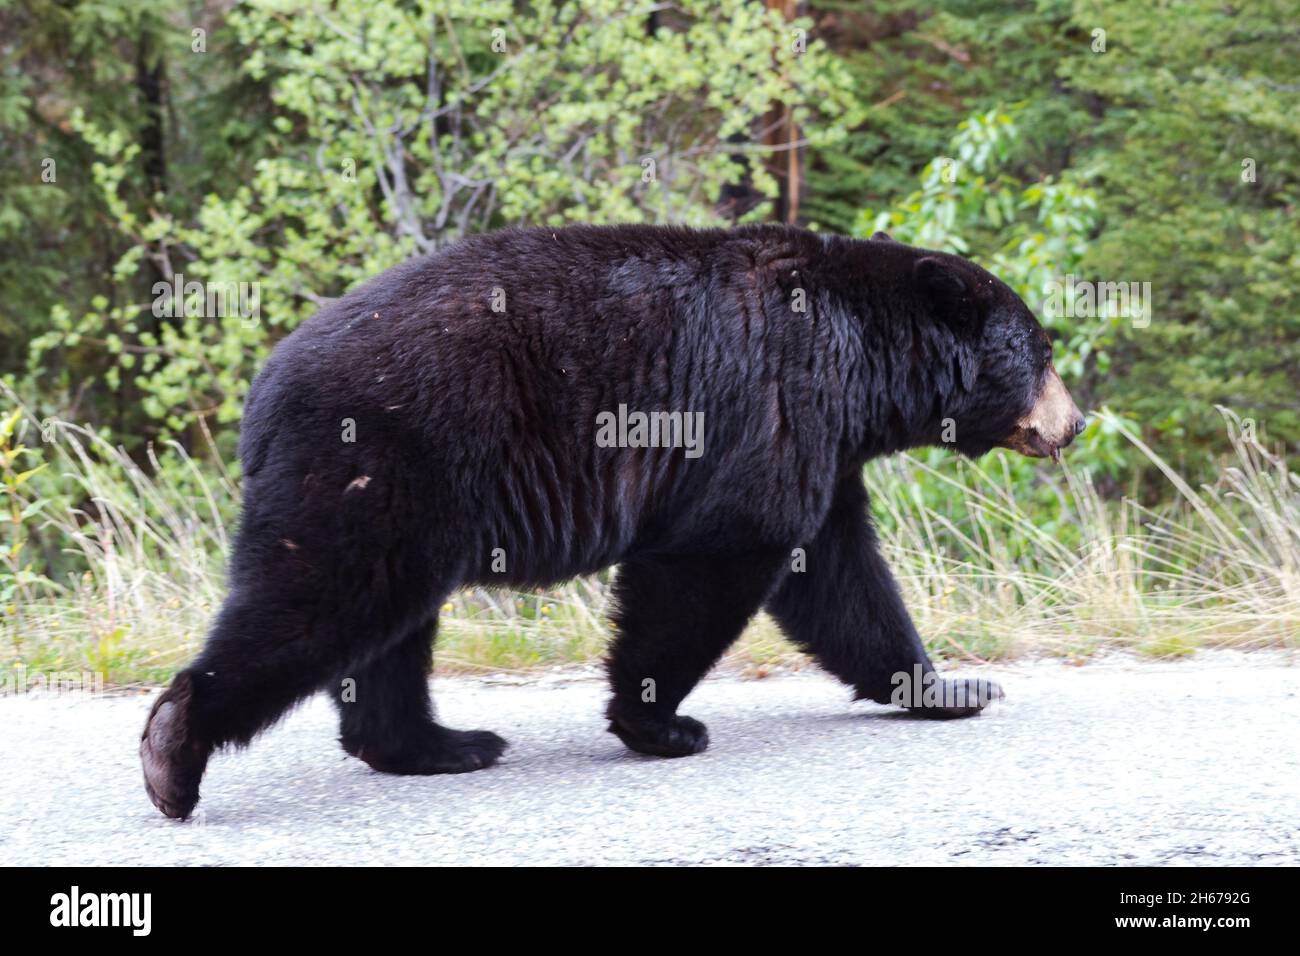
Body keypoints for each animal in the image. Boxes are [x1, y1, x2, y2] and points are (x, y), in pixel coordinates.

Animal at [139, 221, 1086, 816]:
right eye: (1041, 351)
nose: (1074, 422)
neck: (864, 357)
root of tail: (263, 389)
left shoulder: (822, 442)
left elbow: (842, 577)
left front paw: (950, 689)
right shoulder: (776, 409)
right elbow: (717, 555)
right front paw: (660, 724)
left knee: (390, 629)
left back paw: (443, 743)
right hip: (383, 460)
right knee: (321, 599)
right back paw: (174, 750)